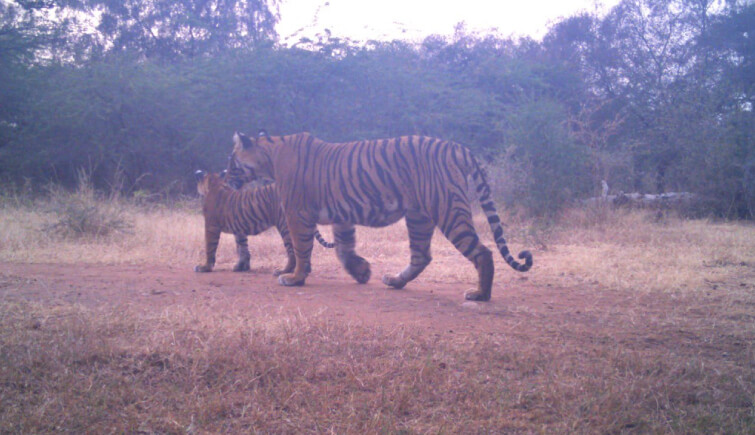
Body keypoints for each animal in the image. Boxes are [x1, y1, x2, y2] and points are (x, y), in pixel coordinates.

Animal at [195, 171, 334, 276]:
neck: (216, 185)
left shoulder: (211, 227)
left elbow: (210, 247)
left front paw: (205, 267)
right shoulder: (239, 228)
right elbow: (242, 247)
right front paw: (241, 266)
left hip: (285, 227)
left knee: (293, 252)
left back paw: (283, 271)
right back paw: (305, 269)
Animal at [227, 132, 536, 304]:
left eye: (232, 160)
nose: (223, 174)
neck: (270, 154)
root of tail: (457, 147)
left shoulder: (297, 214)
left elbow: (301, 249)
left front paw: (294, 277)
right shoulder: (342, 216)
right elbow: (343, 249)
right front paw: (362, 272)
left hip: (448, 209)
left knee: (482, 252)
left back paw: (480, 295)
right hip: (419, 216)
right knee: (421, 256)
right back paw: (395, 281)